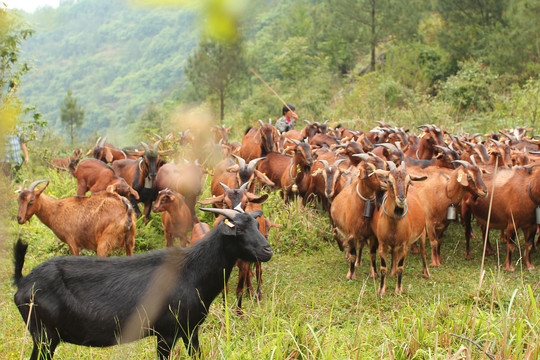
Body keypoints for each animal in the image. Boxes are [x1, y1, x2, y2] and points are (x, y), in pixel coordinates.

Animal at [11, 207, 274, 358]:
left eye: (256, 224)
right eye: (238, 230)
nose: (267, 250)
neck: (192, 271)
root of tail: (23, 281)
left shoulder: (190, 330)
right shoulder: (166, 333)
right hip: (44, 335)